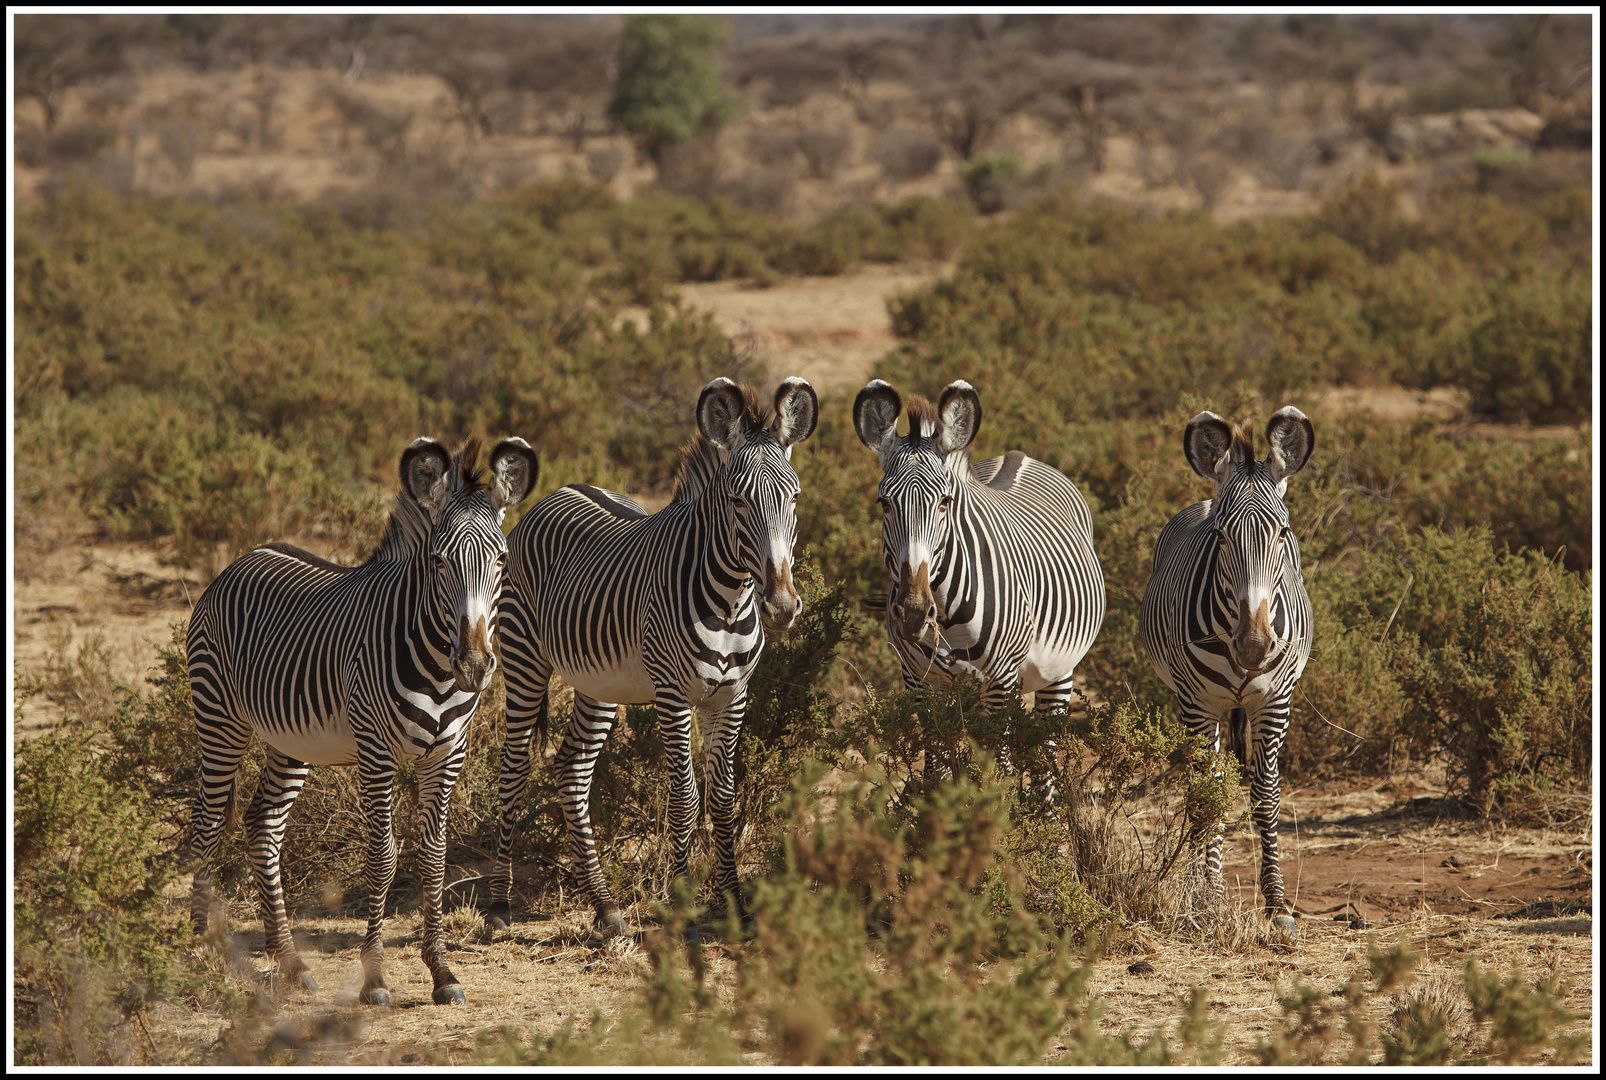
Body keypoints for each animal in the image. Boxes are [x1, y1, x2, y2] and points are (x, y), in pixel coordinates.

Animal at [181, 437, 533, 1002]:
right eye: (438, 561)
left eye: (501, 559)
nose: (476, 665)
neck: (436, 667)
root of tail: (246, 556)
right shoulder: (376, 753)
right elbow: (383, 857)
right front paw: (374, 977)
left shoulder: (448, 754)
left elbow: (434, 857)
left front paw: (442, 972)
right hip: (219, 717)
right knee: (208, 822)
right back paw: (201, 945)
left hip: (291, 741)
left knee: (263, 826)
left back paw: (291, 961)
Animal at [485, 376, 815, 932]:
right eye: (737, 500)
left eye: (793, 498)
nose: (782, 606)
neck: (731, 599)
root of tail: (562, 490)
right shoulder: (672, 694)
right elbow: (684, 797)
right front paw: (681, 904)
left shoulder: (733, 695)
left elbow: (724, 798)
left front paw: (735, 905)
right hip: (524, 661)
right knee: (513, 768)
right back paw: (498, 906)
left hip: (598, 683)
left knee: (572, 770)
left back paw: (604, 906)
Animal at [854, 379, 1104, 793]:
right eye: (884, 504)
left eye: (944, 502)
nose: (913, 613)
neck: (946, 613)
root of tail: (1018, 456)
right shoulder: (918, 681)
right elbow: (936, 771)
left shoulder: (999, 681)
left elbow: (996, 776)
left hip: (1059, 672)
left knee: (1045, 756)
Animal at [1137, 406, 1310, 938]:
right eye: (1220, 536)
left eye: (1282, 534)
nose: (1253, 646)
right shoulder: (1198, 705)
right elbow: (1206, 795)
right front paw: (1207, 897)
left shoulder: (1275, 701)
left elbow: (1266, 796)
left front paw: (1277, 904)